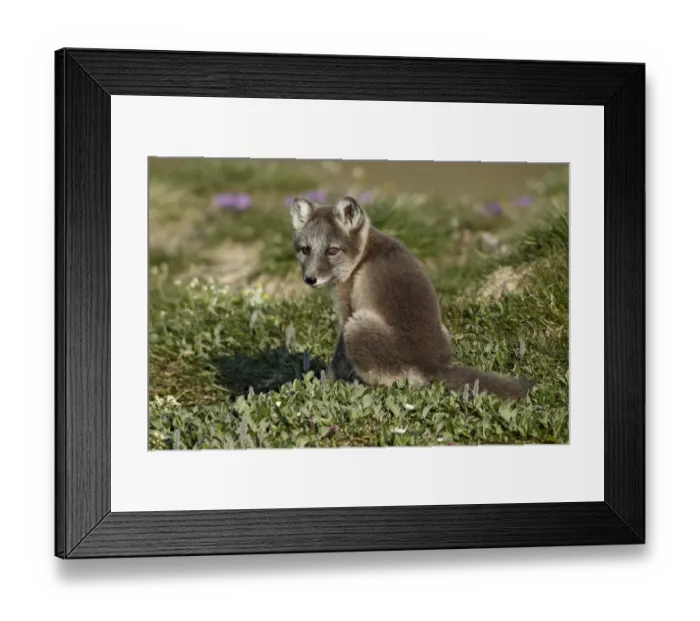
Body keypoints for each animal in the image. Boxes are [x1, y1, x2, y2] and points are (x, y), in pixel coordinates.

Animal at [289, 195, 535, 399]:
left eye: (332, 251)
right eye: (305, 250)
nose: (310, 279)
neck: (362, 257)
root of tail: (432, 367)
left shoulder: (346, 312)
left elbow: (336, 360)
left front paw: (323, 385)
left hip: (357, 327)